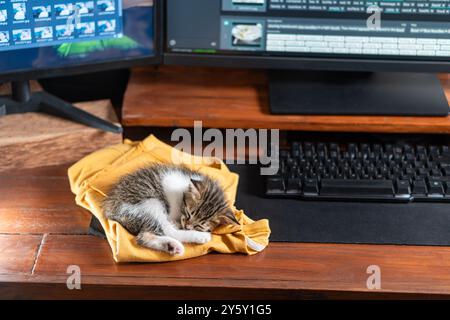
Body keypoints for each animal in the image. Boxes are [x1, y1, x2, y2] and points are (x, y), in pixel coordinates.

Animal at [103, 165, 239, 255]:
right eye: (189, 214)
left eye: (199, 225)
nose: (187, 226)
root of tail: (109, 209)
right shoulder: (170, 181)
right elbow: (173, 204)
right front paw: (175, 219)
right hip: (150, 203)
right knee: (168, 230)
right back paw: (198, 236)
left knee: (143, 237)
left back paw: (172, 246)